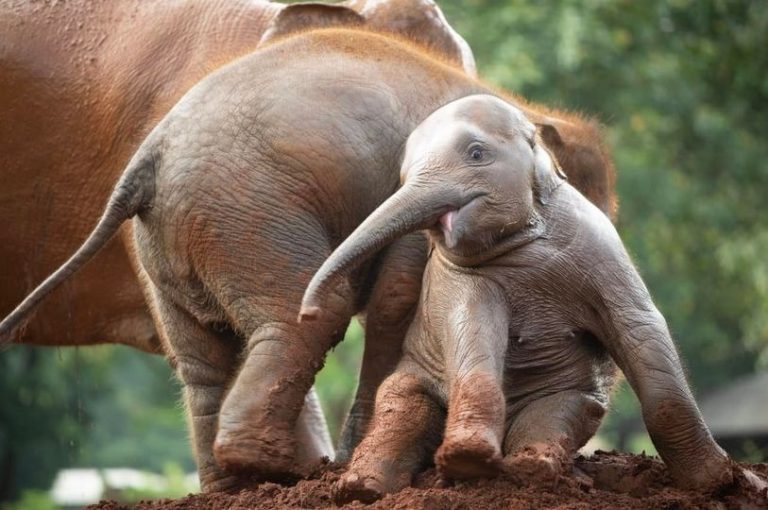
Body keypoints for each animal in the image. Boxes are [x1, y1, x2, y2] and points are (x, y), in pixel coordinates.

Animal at [1, 29, 617, 491]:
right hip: (250, 214)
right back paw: (280, 468)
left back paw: (234, 484)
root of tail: (147, 160)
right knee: (305, 316)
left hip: (167, 243)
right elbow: (396, 300)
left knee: (201, 360)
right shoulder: (419, 197)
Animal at [299, 94, 761, 503]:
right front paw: (467, 459)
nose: (308, 312)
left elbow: (639, 324)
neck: (526, 239)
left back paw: (531, 468)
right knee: (401, 408)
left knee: (556, 414)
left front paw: (721, 483)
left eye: (476, 153)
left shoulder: (602, 246)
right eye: (402, 176)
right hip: (413, 379)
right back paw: (362, 487)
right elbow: (473, 329)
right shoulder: (461, 279)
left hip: (568, 399)